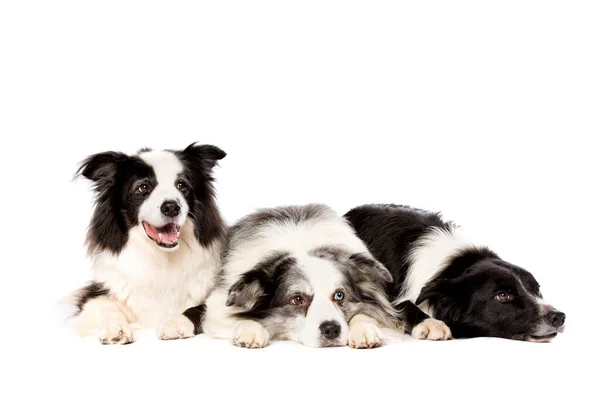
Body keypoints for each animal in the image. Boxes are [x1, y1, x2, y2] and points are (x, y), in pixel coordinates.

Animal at [67, 144, 227, 344]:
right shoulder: (96, 293)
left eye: (181, 185)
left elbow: (198, 309)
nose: (172, 207)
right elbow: (106, 308)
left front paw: (176, 322)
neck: (161, 257)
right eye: (143, 187)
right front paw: (116, 328)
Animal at [193, 205, 418, 348]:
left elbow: (367, 313)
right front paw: (251, 330)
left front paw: (364, 329)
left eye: (339, 295)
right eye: (297, 299)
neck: (300, 246)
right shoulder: (217, 305)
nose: (331, 330)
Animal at [344, 205, 564, 342]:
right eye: (503, 295)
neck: (452, 264)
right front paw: (431, 322)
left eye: (536, 289)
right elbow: (403, 304)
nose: (559, 317)